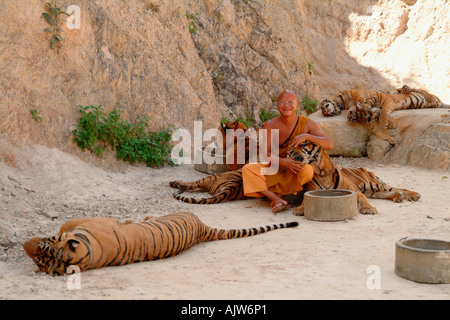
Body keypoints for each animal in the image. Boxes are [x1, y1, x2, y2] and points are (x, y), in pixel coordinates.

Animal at [288, 140, 422, 215]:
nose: (288, 152)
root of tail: (363, 168)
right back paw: (398, 197)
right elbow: (304, 201)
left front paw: (369, 209)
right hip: (371, 191)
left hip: (371, 184)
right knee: (384, 193)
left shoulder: (356, 192)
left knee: (396, 188)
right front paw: (299, 209)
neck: (320, 171)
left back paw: (414, 194)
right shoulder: (310, 191)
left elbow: (364, 200)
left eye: (302, 144)